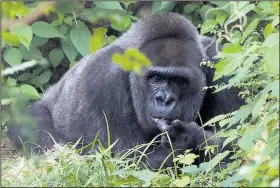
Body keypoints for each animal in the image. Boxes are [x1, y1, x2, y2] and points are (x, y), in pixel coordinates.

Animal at [7, 13, 243, 169]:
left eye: (178, 80)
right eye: (155, 78)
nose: (164, 99)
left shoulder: (222, 61)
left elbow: (238, 144)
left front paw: (191, 136)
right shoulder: (103, 77)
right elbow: (125, 165)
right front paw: (186, 139)